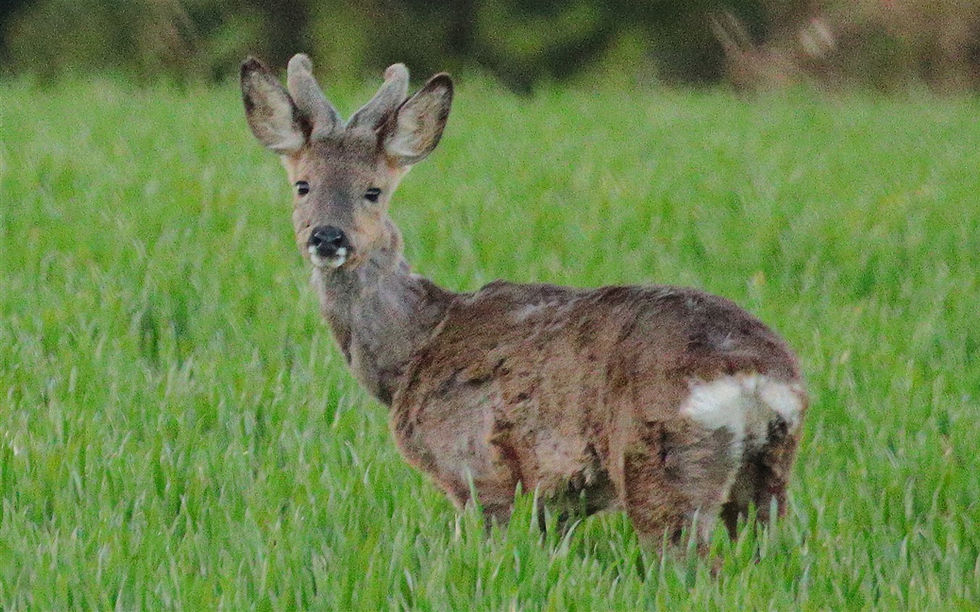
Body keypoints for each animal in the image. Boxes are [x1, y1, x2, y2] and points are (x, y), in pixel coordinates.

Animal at [239, 54, 808, 552]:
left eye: (373, 191)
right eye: (302, 185)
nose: (327, 237)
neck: (415, 346)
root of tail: (756, 378)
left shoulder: (478, 467)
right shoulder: (554, 500)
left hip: (664, 460)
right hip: (768, 476)